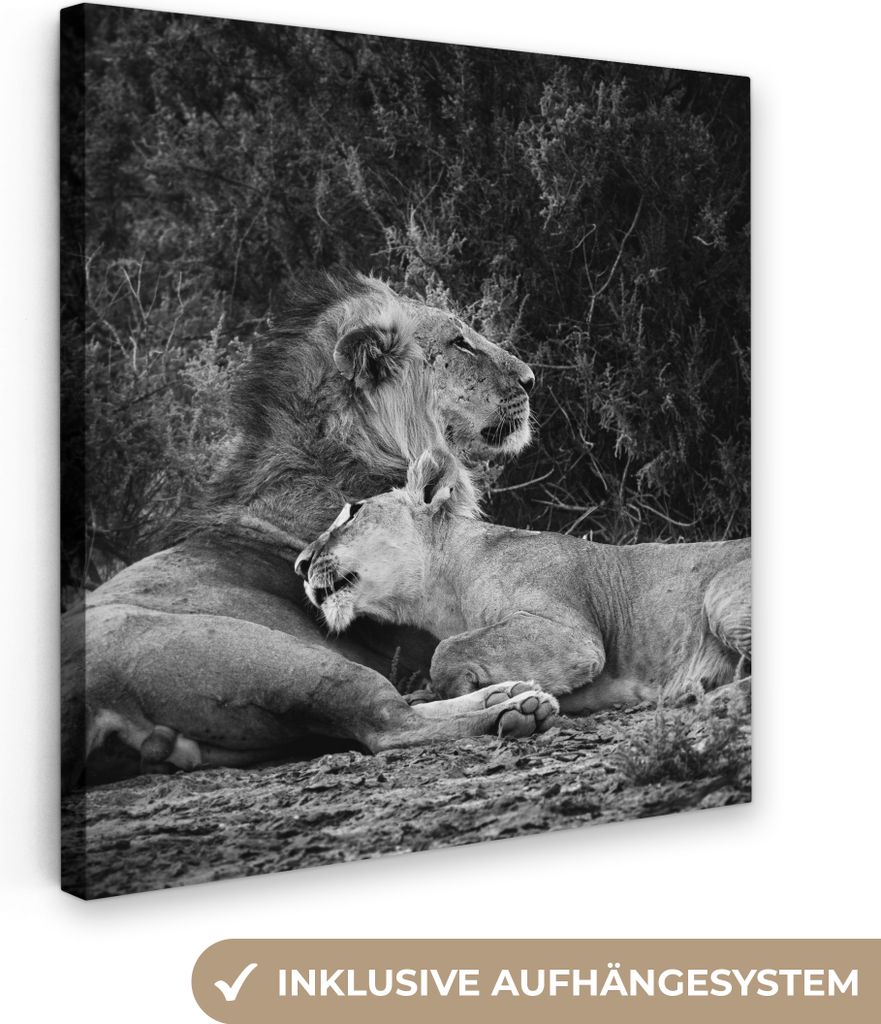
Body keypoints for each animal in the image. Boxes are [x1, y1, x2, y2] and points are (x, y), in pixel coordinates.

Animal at [296, 448, 752, 711]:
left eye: (353, 512)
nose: (300, 565)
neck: (446, 591)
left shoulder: (574, 636)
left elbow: (447, 650)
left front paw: (465, 688)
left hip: (719, 597)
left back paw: (712, 697)